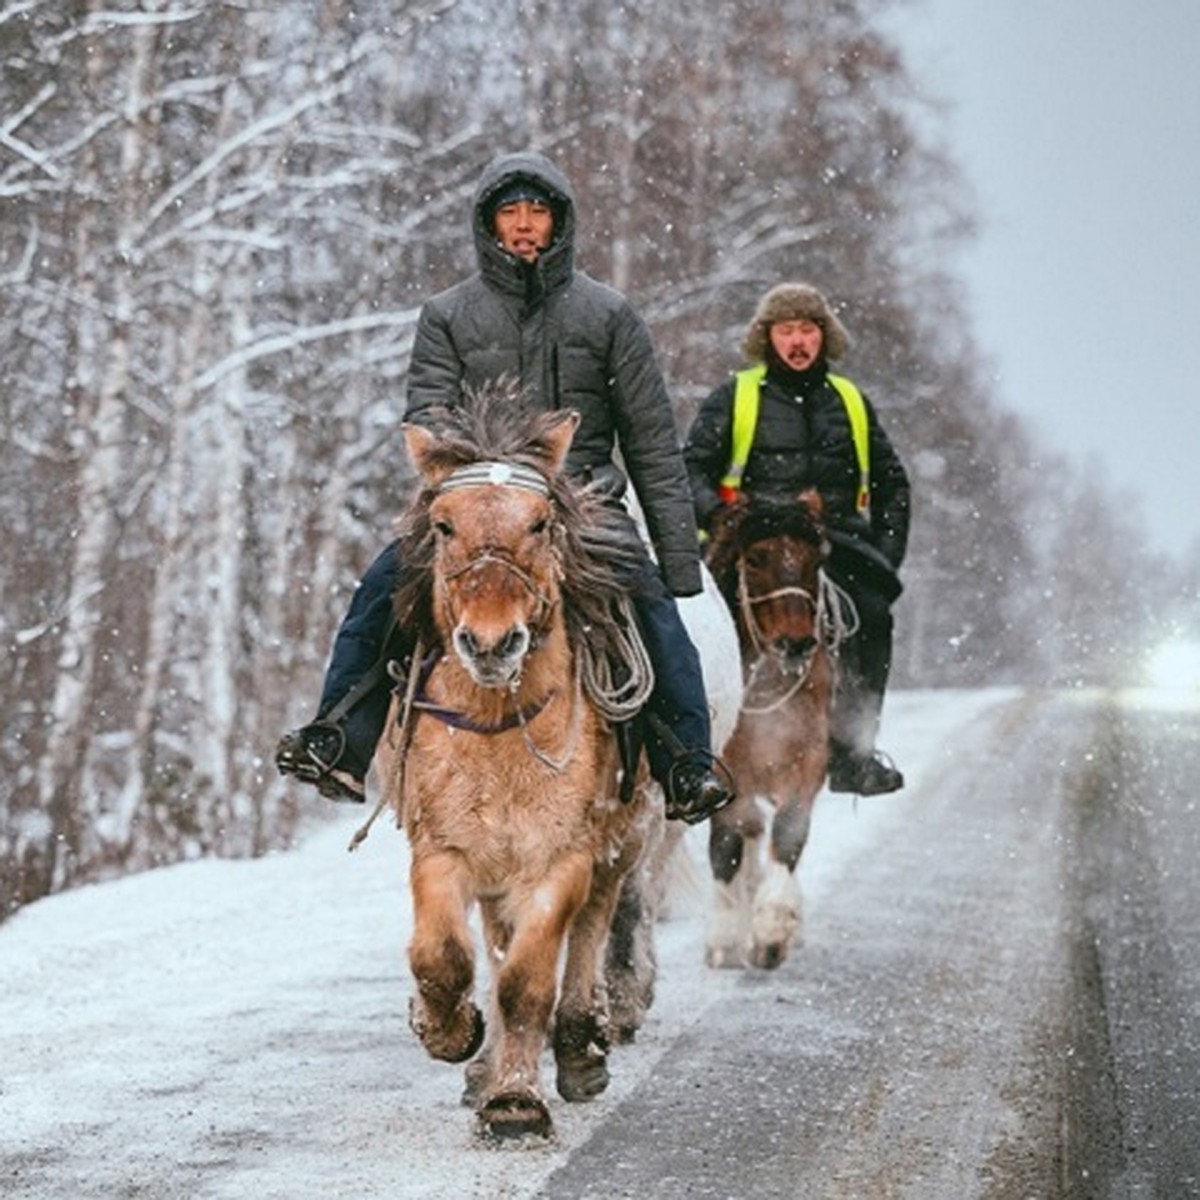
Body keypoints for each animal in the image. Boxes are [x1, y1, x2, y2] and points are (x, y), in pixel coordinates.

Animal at [379, 386, 672, 1142]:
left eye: (540, 523)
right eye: (443, 525)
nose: (491, 643)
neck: (497, 727)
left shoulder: (560, 859)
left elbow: (527, 981)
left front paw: (515, 1103)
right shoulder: (444, 849)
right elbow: (444, 957)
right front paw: (450, 1033)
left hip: (623, 844)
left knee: (593, 929)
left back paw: (578, 1046)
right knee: (493, 939)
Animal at [700, 492, 849, 969]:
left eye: (815, 559)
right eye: (755, 558)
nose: (796, 643)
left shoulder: (807, 766)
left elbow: (788, 834)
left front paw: (770, 935)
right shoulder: (724, 775)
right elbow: (727, 845)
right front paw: (725, 940)